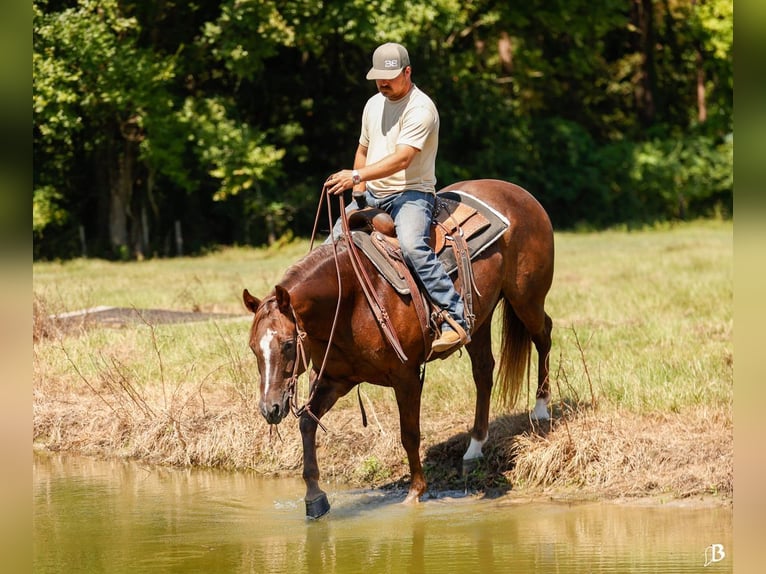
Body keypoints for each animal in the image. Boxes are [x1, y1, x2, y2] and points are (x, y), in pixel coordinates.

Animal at [243, 178, 554, 518]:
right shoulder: (334, 379)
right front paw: (315, 498)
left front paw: (415, 492)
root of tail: (519, 193)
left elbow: (410, 434)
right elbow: (308, 424)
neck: (351, 297)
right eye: (253, 348)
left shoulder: (405, 376)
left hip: (526, 298)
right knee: (484, 372)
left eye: (288, 344)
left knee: (544, 335)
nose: (269, 409)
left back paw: (541, 409)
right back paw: (474, 449)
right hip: (480, 319)